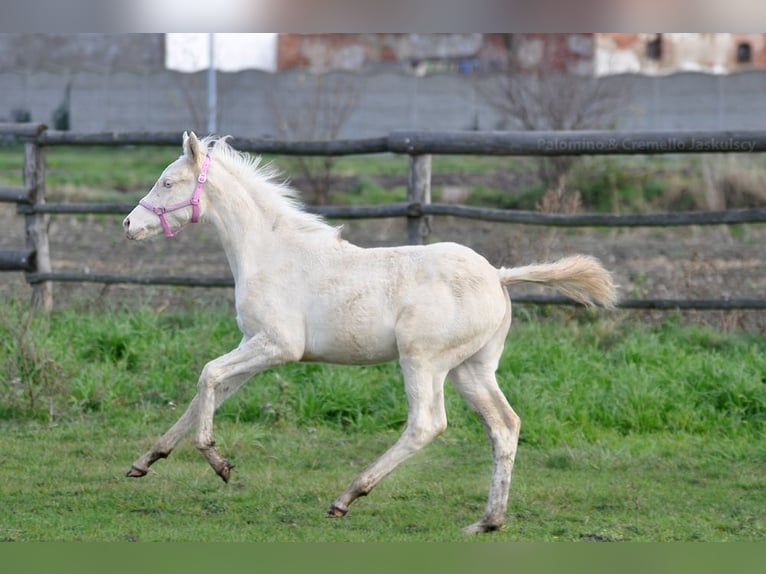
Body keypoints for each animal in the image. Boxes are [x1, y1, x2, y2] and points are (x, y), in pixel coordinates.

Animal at [122, 132, 618, 534]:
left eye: (168, 183)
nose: (128, 225)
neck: (270, 253)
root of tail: (498, 276)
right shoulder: (253, 345)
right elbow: (205, 394)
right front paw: (145, 462)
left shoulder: (279, 346)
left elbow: (207, 376)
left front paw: (217, 461)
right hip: (471, 368)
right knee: (504, 425)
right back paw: (488, 521)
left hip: (423, 360)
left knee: (427, 424)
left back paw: (347, 497)